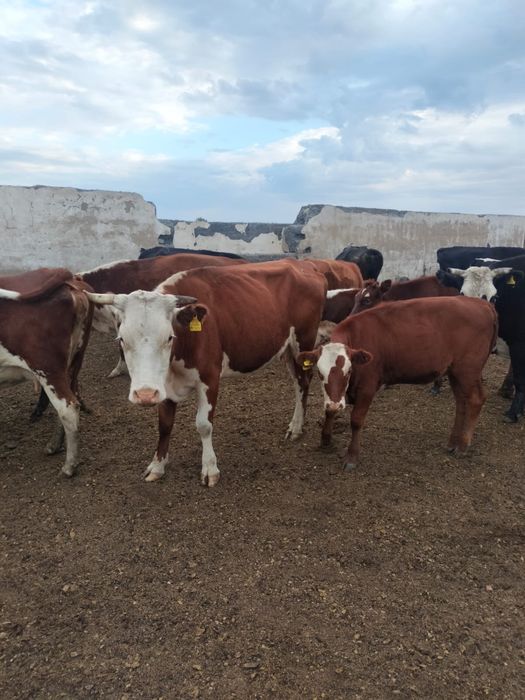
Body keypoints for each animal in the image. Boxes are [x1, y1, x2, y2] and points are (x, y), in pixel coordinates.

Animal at [0, 268, 93, 476]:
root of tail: (69, 278)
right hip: (73, 361)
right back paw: (54, 445)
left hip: (47, 367)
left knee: (68, 408)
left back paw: (69, 466)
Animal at [86, 259, 328, 486]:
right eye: (122, 339)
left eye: (169, 337)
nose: (145, 394)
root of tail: (304, 264)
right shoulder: (163, 385)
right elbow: (164, 425)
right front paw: (157, 465)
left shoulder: (210, 378)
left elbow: (203, 424)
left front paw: (210, 469)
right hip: (287, 349)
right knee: (297, 382)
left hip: (303, 341)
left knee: (303, 382)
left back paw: (296, 427)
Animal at [298, 297, 498, 471]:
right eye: (320, 373)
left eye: (349, 371)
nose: (335, 404)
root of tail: (481, 303)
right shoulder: (336, 395)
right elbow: (329, 412)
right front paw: (325, 440)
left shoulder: (367, 388)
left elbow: (356, 421)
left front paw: (352, 456)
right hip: (455, 371)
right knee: (461, 402)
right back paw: (453, 442)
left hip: (468, 370)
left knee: (475, 400)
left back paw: (463, 444)